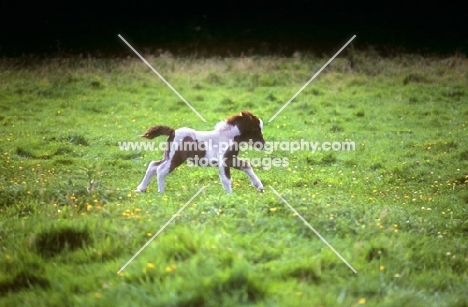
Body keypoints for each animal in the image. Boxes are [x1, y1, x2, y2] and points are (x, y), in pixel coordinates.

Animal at [136, 110, 266, 192]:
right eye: (256, 128)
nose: (263, 144)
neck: (228, 136)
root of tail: (173, 132)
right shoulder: (223, 161)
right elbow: (226, 179)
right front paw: (230, 196)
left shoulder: (231, 159)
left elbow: (246, 165)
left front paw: (259, 187)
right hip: (176, 157)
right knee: (161, 170)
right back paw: (161, 193)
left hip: (168, 156)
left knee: (153, 165)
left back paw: (140, 189)